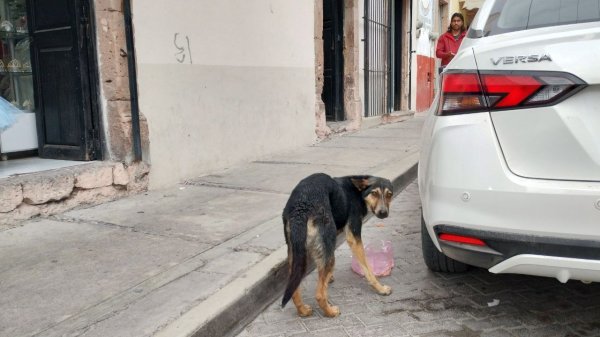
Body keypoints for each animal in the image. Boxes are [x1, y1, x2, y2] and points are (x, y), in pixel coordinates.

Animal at [282, 172, 394, 316]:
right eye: (374, 193)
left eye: (389, 194)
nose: (383, 213)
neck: (358, 192)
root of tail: (301, 206)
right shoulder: (353, 237)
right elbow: (367, 269)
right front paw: (380, 288)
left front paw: (329, 277)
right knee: (319, 294)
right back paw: (330, 312)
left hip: (296, 253)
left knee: (294, 285)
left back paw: (303, 310)